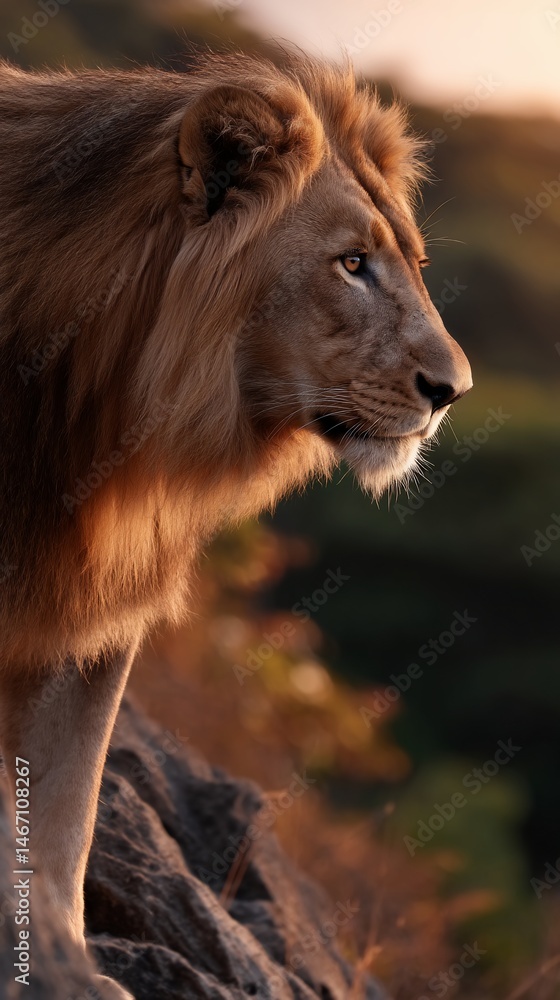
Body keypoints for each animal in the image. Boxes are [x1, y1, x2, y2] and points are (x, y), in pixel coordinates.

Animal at [0, 52, 471, 997]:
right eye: (352, 263)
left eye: (408, 261)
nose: (454, 391)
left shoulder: (87, 613)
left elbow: (65, 813)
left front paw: (61, 967)